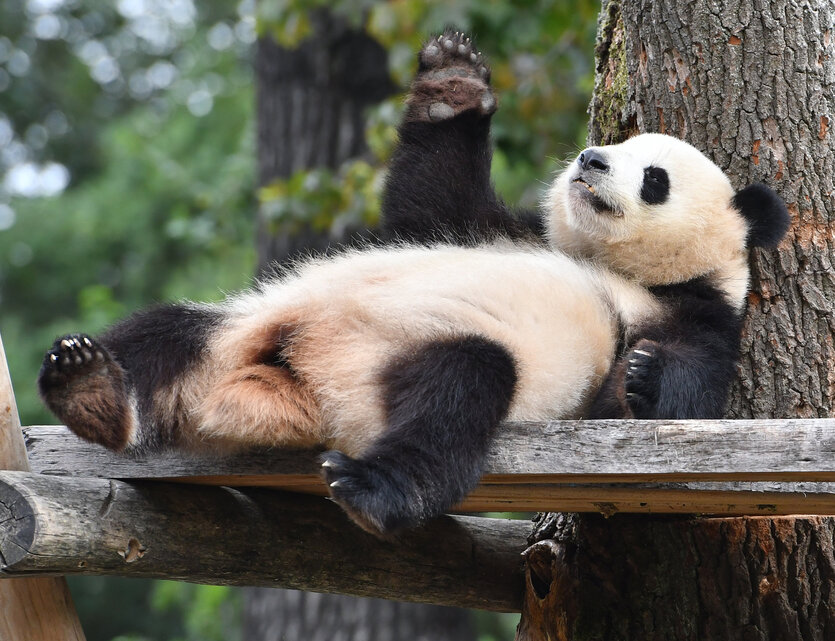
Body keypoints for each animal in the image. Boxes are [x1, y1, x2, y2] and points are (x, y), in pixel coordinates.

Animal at [37, 32, 792, 532]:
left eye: (653, 177)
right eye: (619, 143)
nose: (590, 158)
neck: (614, 264)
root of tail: (286, 384)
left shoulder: (696, 311)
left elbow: (681, 393)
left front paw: (641, 372)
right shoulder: (500, 228)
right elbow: (428, 200)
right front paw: (452, 81)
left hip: (403, 363)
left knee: (456, 393)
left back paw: (371, 492)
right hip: (244, 324)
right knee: (165, 331)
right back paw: (89, 385)